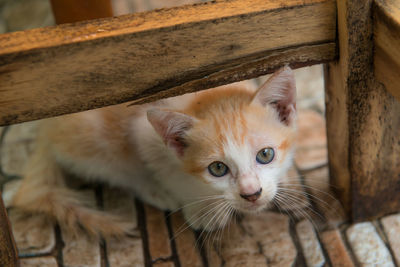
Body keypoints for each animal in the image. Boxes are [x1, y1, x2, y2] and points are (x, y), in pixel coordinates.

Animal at [10, 67, 296, 239]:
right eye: (217, 169)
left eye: (266, 155)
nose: (252, 194)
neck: (208, 94)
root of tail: (44, 126)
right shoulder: (143, 134)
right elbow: (169, 174)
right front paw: (201, 208)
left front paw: (282, 180)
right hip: (90, 138)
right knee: (118, 169)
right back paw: (154, 190)